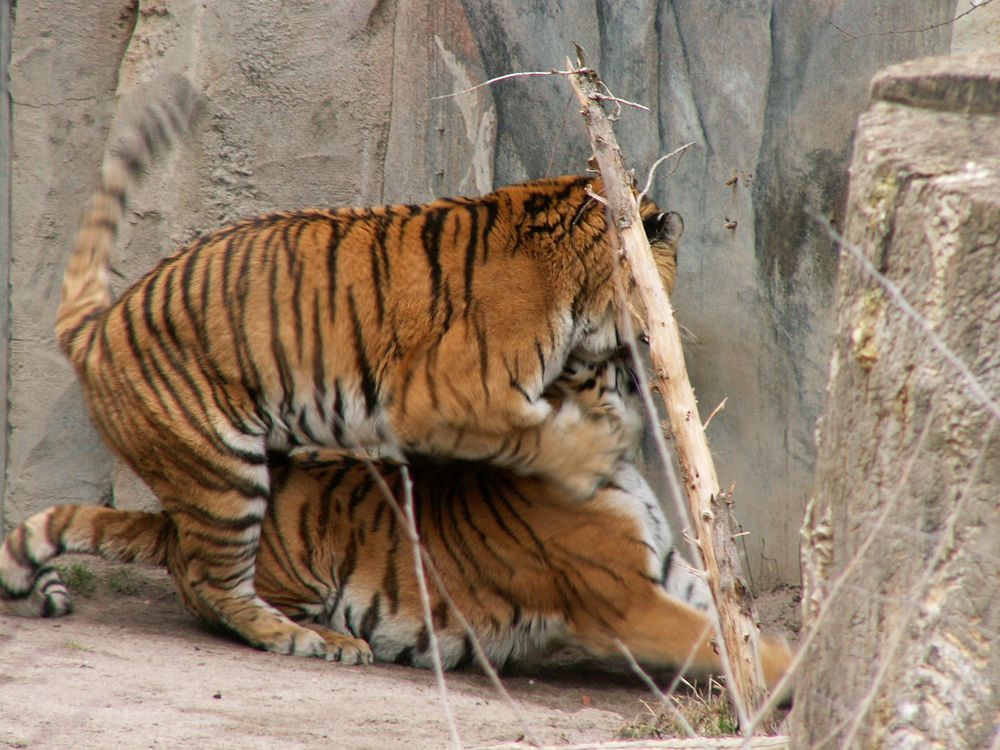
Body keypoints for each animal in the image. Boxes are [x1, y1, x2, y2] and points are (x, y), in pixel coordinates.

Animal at [1, 356, 796, 692]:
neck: (616, 458)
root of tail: (172, 521)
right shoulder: (626, 602)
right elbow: (722, 640)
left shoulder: (666, 573)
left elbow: (735, 623)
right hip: (283, 546)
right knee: (237, 606)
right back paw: (330, 641)